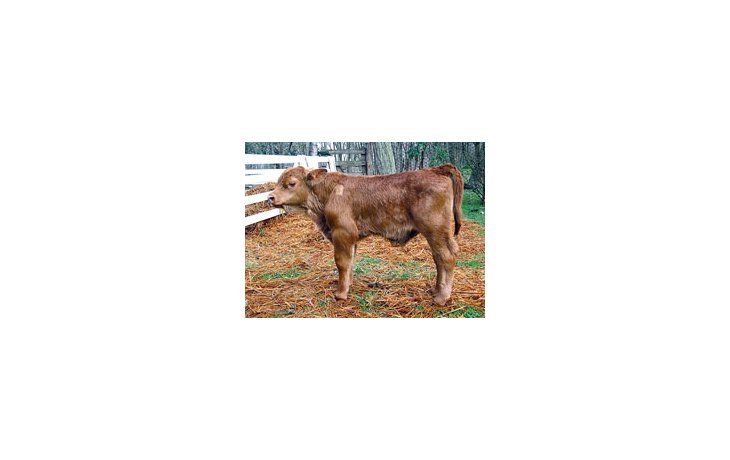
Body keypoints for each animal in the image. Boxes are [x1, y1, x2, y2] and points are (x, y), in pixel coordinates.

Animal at [267, 164, 464, 306]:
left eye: (291, 183)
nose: (270, 197)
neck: (330, 192)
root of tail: (434, 170)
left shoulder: (342, 233)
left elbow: (342, 262)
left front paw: (340, 294)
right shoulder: (351, 239)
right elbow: (351, 261)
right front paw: (348, 285)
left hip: (435, 231)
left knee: (446, 257)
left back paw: (441, 298)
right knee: (438, 259)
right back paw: (436, 290)